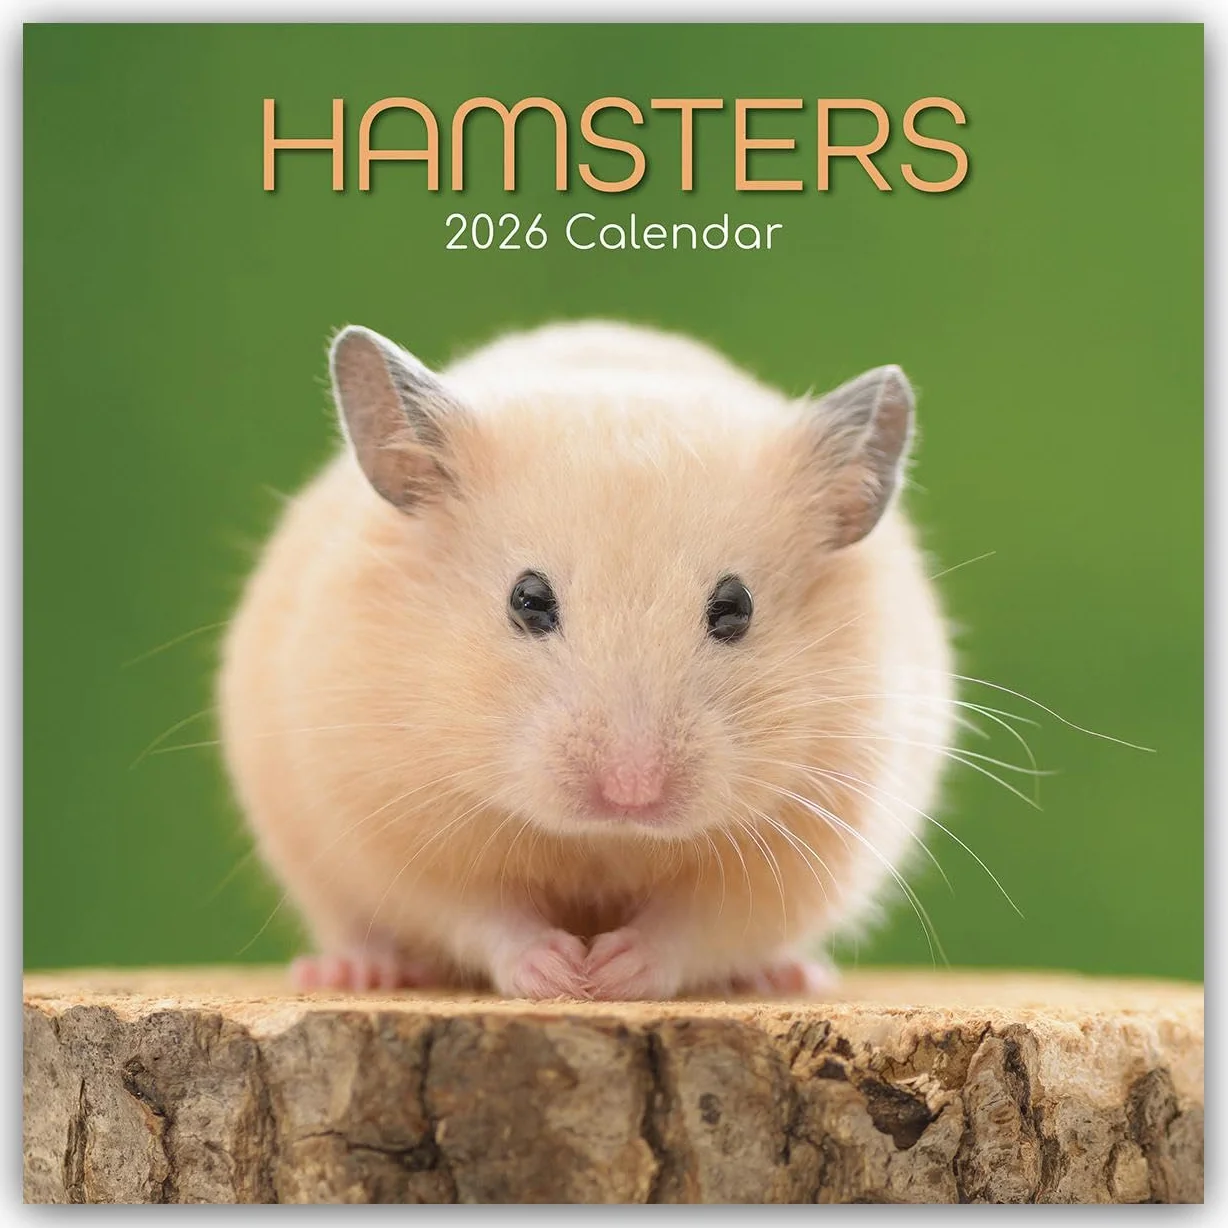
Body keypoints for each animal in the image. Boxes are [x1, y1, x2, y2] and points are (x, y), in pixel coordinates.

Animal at [216, 319, 955, 1000]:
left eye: (736, 607)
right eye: (527, 599)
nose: (631, 791)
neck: (605, 840)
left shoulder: (803, 846)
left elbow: (694, 927)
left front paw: (611, 973)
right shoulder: (393, 827)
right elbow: (482, 915)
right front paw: (562, 973)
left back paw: (790, 976)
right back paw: (355, 971)